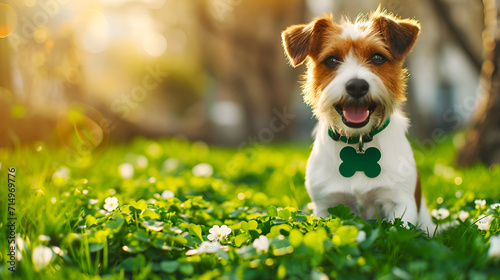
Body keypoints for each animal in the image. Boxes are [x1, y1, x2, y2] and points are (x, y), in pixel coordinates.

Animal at [282, 8, 438, 233]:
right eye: (331, 60)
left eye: (378, 57)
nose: (357, 86)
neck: (358, 140)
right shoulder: (326, 205)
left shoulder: (400, 203)